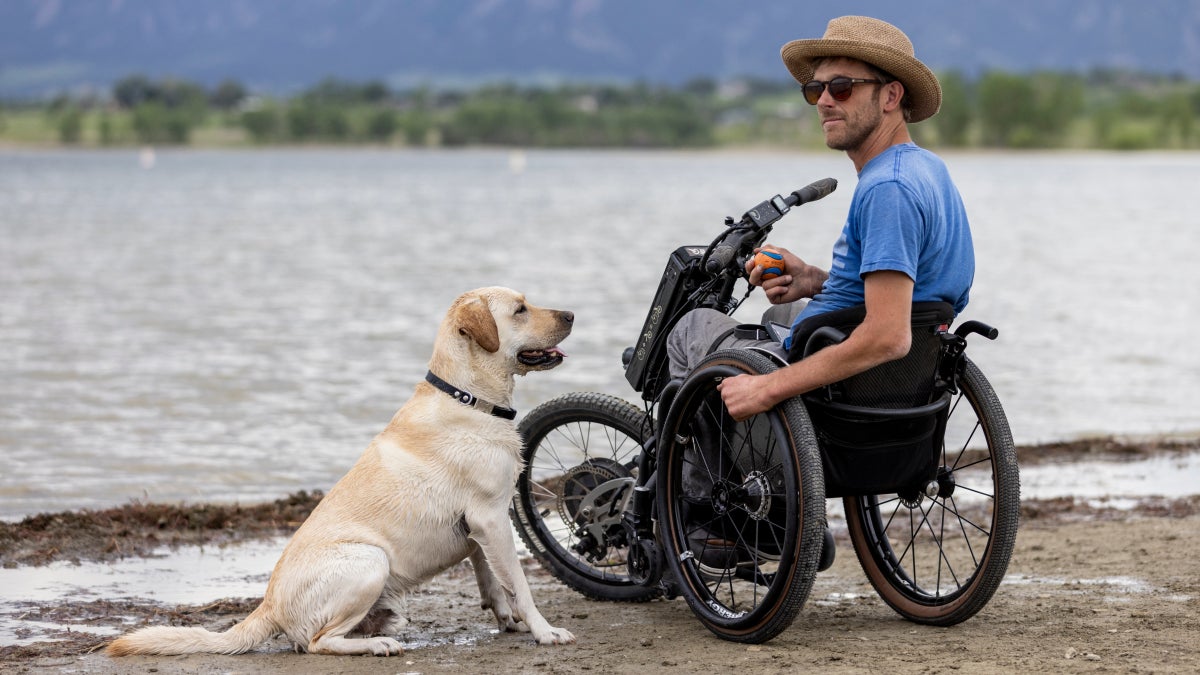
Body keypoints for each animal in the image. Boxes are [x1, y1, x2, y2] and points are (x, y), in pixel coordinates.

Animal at [105, 285, 573, 653]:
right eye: (520, 309)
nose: (571, 314)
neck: (468, 397)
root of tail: (269, 607)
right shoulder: (490, 517)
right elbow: (520, 584)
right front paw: (543, 630)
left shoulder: (480, 529)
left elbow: (493, 581)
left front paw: (509, 621)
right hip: (369, 562)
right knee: (317, 643)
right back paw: (378, 645)